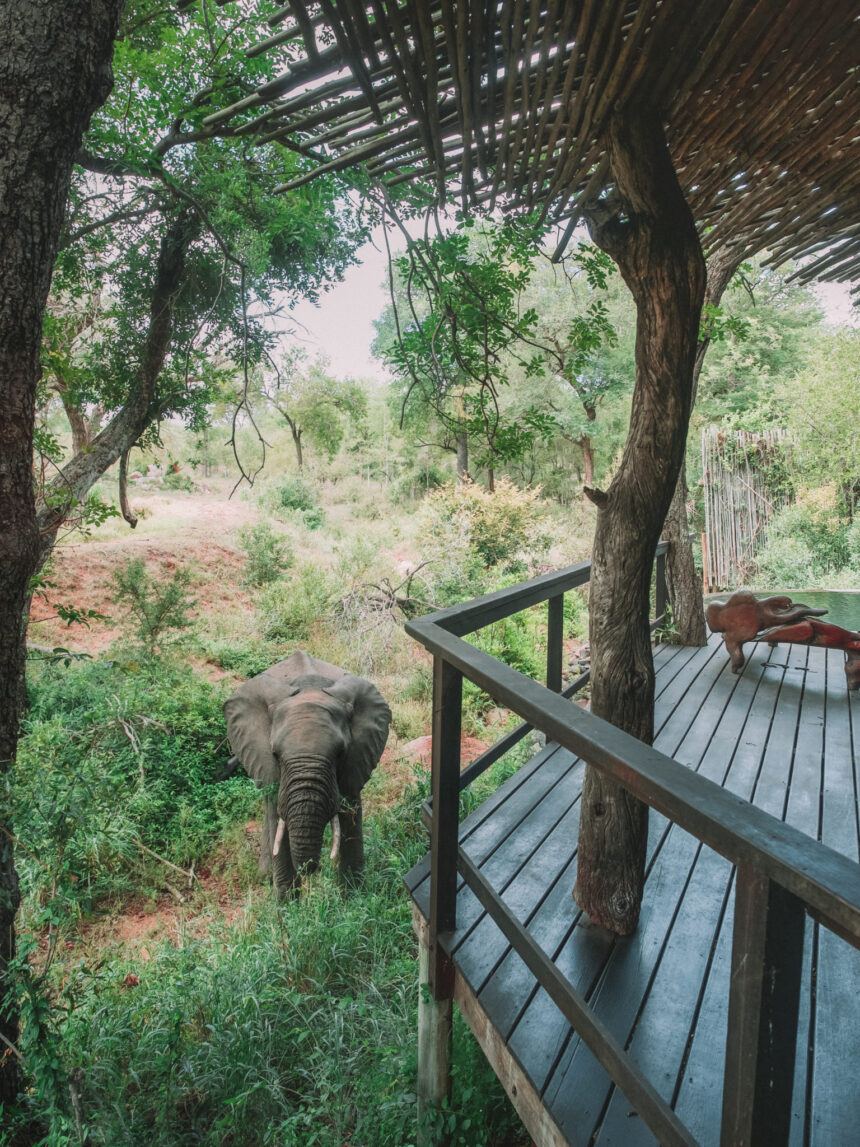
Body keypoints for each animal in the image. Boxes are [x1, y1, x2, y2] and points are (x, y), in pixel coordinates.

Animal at [225, 656, 394, 894]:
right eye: (275, 754)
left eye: (340, 753)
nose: (312, 869)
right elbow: (277, 821)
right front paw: (287, 902)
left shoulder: (357, 758)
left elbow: (351, 813)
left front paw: (354, 897)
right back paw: (265, 876)